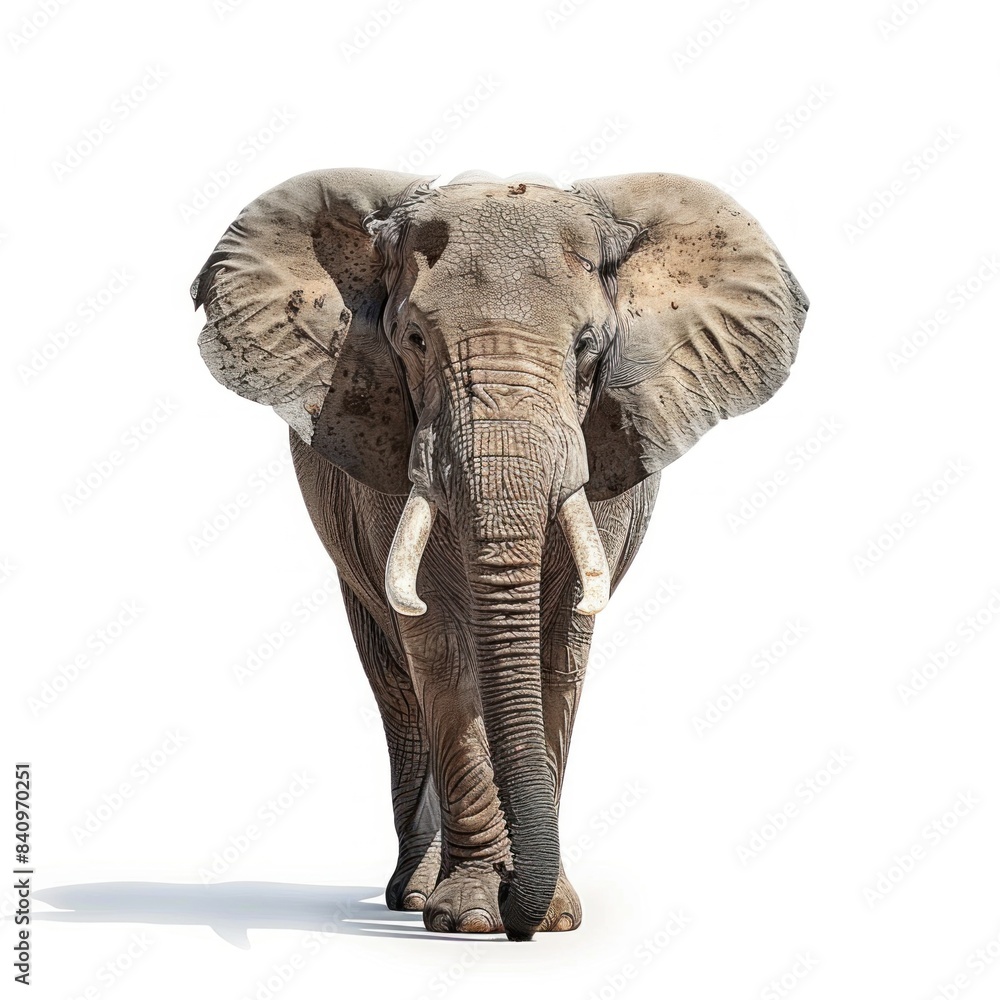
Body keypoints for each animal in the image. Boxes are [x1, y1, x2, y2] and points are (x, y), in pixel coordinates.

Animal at [191, 168, 808, 941]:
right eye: (415, 339)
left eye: (588, 346)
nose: (519, 912)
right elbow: (439, 647)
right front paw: (471, 915)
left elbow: (561, 648)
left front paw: (552, 917)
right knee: (397, 683)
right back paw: (414, 895)